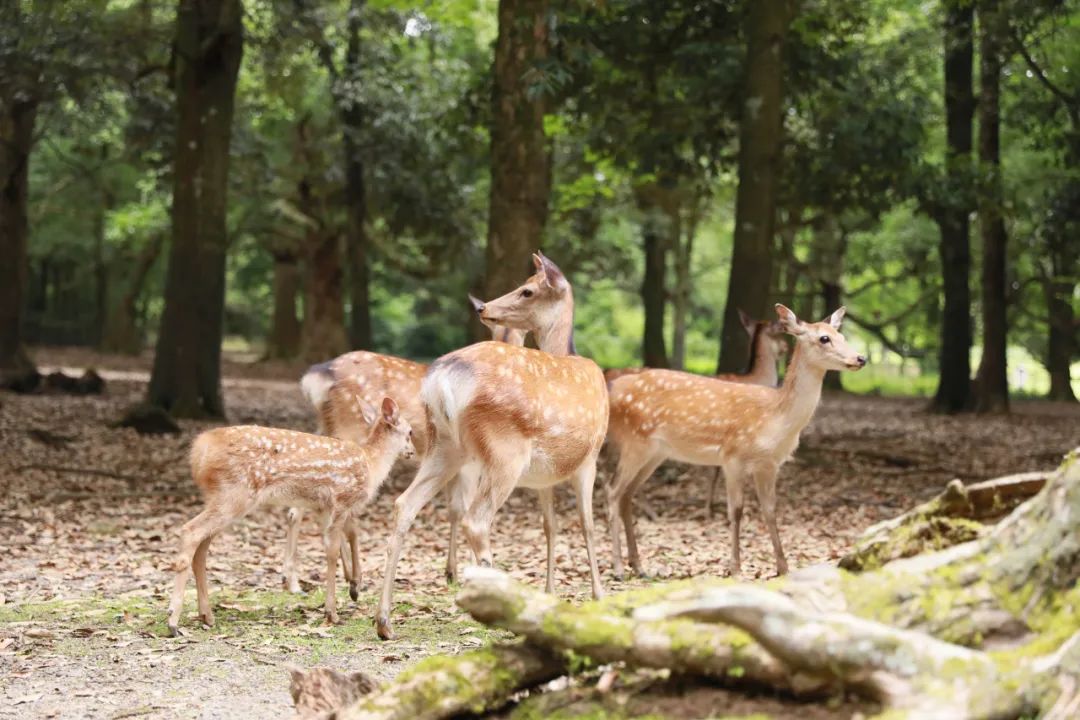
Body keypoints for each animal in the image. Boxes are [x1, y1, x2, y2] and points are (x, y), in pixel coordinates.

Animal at [166, 391, 415, 637]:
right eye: (410, 432)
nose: (412, 451)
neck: (371, 463)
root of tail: (199, 451)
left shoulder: (323, 507)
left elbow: (347, 535)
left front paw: (353, 586)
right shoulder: (342, 499)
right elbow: (333, 549)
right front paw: (332, 612)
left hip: (220, 497)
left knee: (201, 547)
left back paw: (206, 615)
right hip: (235, 494)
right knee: (190, 531)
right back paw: (174, 621)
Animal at [288, 304, 525, 595]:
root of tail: (317, 379)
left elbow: (454, 509)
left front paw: (452, 572)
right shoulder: (470, 463)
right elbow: (465, 508)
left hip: (325, 431)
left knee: (300, 505)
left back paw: (314, 579)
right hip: (348, 429)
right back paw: (335, 580)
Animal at [374, 252, 609, 640]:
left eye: (527, 290)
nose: (483, 307)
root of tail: (442, 379)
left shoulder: (545, 475)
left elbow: (551, 525)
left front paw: (550, 593)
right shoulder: (591, 455)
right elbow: (588, 524)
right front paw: (599, 594)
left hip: (444, 445)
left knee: (403, 504)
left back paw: (384, 622)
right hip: (504, 449)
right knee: (477, 520)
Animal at [605, 304, 866, 581]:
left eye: (843, 336)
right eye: (824, 338)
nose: (861, 358)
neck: (776, 418)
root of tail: (612, 389)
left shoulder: (770, 464)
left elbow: (770, 510)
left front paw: (783, 567)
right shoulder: (732, 457)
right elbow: (736, 510)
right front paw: (735, 567)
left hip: (654, 453)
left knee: (626, 494)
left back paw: (639, 566)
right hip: (635, 442)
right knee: (612, 491)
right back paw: (619, 568)